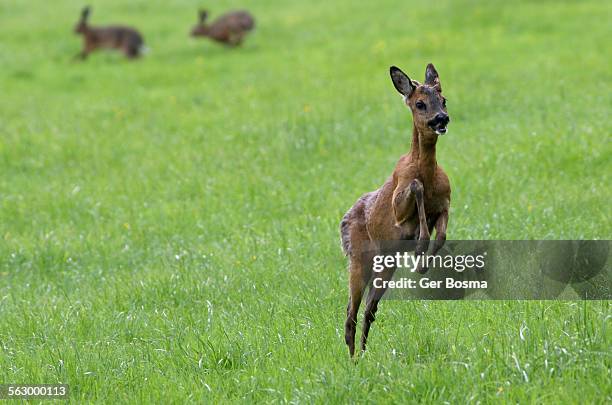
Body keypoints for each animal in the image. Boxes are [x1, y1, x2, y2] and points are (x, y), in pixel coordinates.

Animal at [340, 64, 450, 356]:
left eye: (444, 99)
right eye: (420, 103)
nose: (441, 119)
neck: (428, 172)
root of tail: (343, 221)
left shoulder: (446, 203)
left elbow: (442, 235)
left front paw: (425, 262)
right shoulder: (399, 204)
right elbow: (415, 187)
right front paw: (421, 245)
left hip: (386, 265)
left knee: (368, 310)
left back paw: (362, 355)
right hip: (359, 259)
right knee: (350, 312)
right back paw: (352, 358)